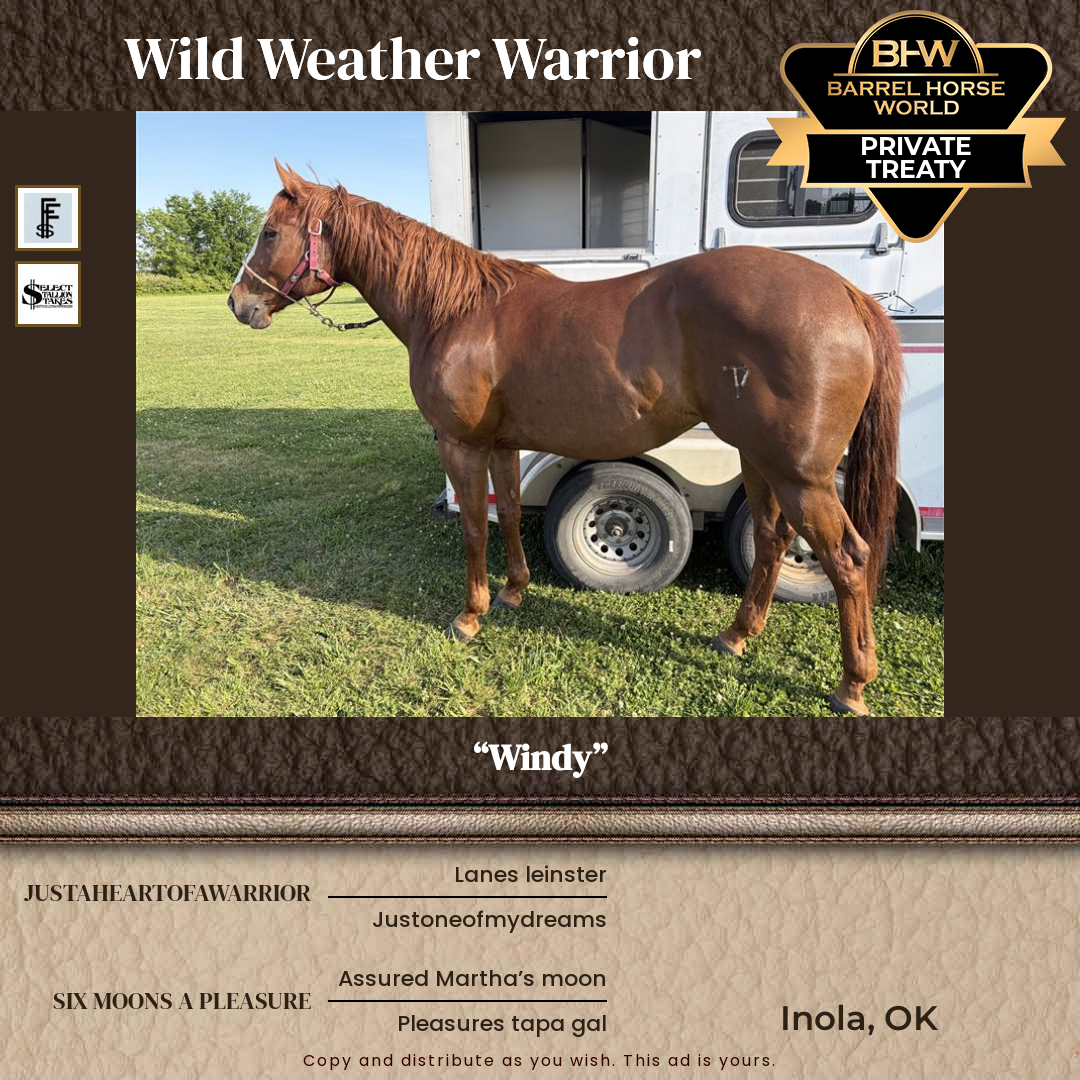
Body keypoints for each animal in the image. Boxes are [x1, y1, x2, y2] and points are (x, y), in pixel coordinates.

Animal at [229, 162, 903, 715]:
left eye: (270, 232)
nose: (238, 305)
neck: (456, 310)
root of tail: (846, 294)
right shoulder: (502, 446)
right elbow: (504, 513)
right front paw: (513, 593)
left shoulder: (462, 446)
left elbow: (474, 528)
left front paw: (470, 616)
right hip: (760, 460)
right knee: (770, 538)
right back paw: (737, 636)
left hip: (801, 476)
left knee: (849, 559)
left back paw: (851, 685)